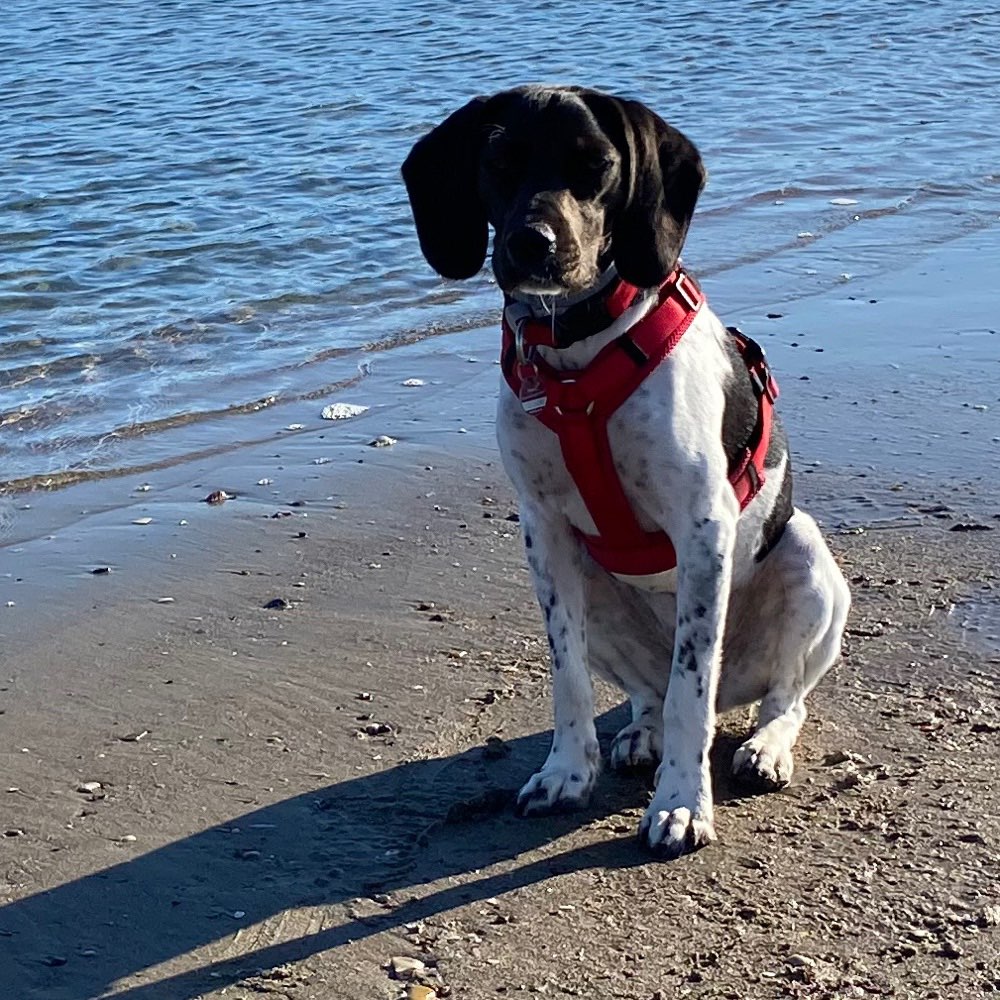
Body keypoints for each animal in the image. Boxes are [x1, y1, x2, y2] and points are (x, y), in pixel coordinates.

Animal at [402, 84, 848, 860]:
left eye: (597, 166)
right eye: (499, 162)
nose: (532, 244)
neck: (573, 358)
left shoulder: (703, 528)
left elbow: (691, 688)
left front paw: (682, 804)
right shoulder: (544, 533)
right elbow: (568, 677)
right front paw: (565, 771)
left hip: (807, 557)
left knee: (778, 695)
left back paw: (764, 746)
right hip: (595, 581)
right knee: (650, 694)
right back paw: (641, 732)